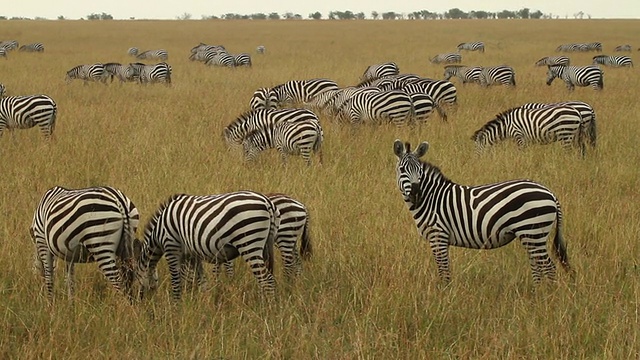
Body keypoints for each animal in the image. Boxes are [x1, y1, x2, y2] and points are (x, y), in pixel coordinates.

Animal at [134, 191, 278, 300]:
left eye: (134, 275)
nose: (139, 300)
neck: (159, 231)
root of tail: (267, 202)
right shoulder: (192, 255)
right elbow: (199, 281)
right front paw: (204, 302)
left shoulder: (172, 248)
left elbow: (176, 281)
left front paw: (176, 306)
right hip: (264, 245)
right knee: (265, 279)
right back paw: (263, 302)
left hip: (249, 243)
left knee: (267, 280)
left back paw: (267, 308)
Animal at [392, 140, 572, 284]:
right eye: (402, 170)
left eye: (419, 171)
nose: (416, 193)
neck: (432, 198)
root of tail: (550, 193)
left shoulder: (438, 236)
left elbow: (444, 271)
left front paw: (444, 294)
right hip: (531, 236)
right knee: (538, 267)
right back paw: (537, 293)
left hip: (533, 231)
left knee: (548, 267)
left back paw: (547, 298)